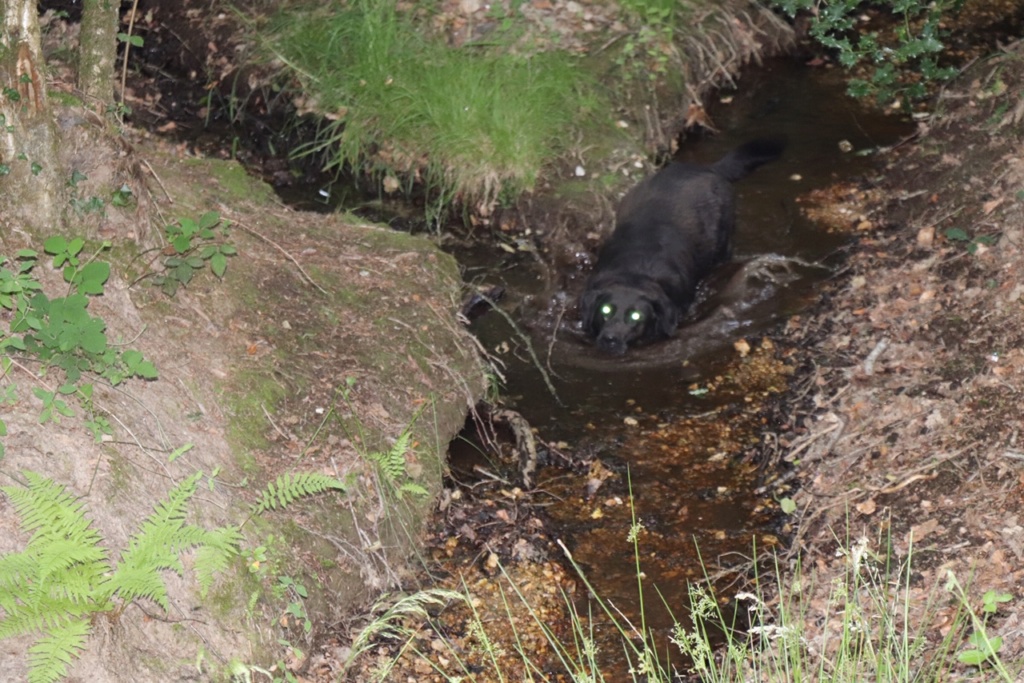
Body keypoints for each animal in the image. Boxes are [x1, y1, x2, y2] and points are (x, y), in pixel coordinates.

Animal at [577, 136, 782, 356]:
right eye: (605, 310)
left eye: (636, 317)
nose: (610, 339)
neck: (635, 272)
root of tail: (709, 169)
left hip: (723, 242)